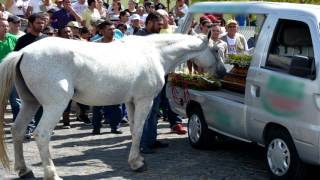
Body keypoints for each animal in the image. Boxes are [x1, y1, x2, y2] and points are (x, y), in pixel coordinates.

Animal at [0, 33, 225, 179]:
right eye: (215, 49)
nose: (222, 72)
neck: (155, 53)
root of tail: (24, 52)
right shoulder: (144, 101)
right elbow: (139, 129)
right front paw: (137, 164)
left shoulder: (131, 102)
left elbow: (134, 130)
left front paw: (136, 159)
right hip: (54, 106)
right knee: (41, 135)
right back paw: (52, 174)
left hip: (30, 103)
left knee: (18, 130)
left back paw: (24, 170)